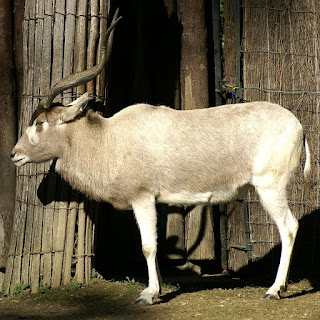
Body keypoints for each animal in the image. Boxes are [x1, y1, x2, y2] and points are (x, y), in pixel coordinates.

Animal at [11, 10, 310, 304]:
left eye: (39, 123)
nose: (15, 154)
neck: (108, 138)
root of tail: (299, 126)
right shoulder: (153, 201)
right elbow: (155, 245)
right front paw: (159, 288)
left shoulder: (142, 198)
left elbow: (148, 246)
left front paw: (149, 293)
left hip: (270, 187)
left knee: (289, 227)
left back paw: (275, 289)